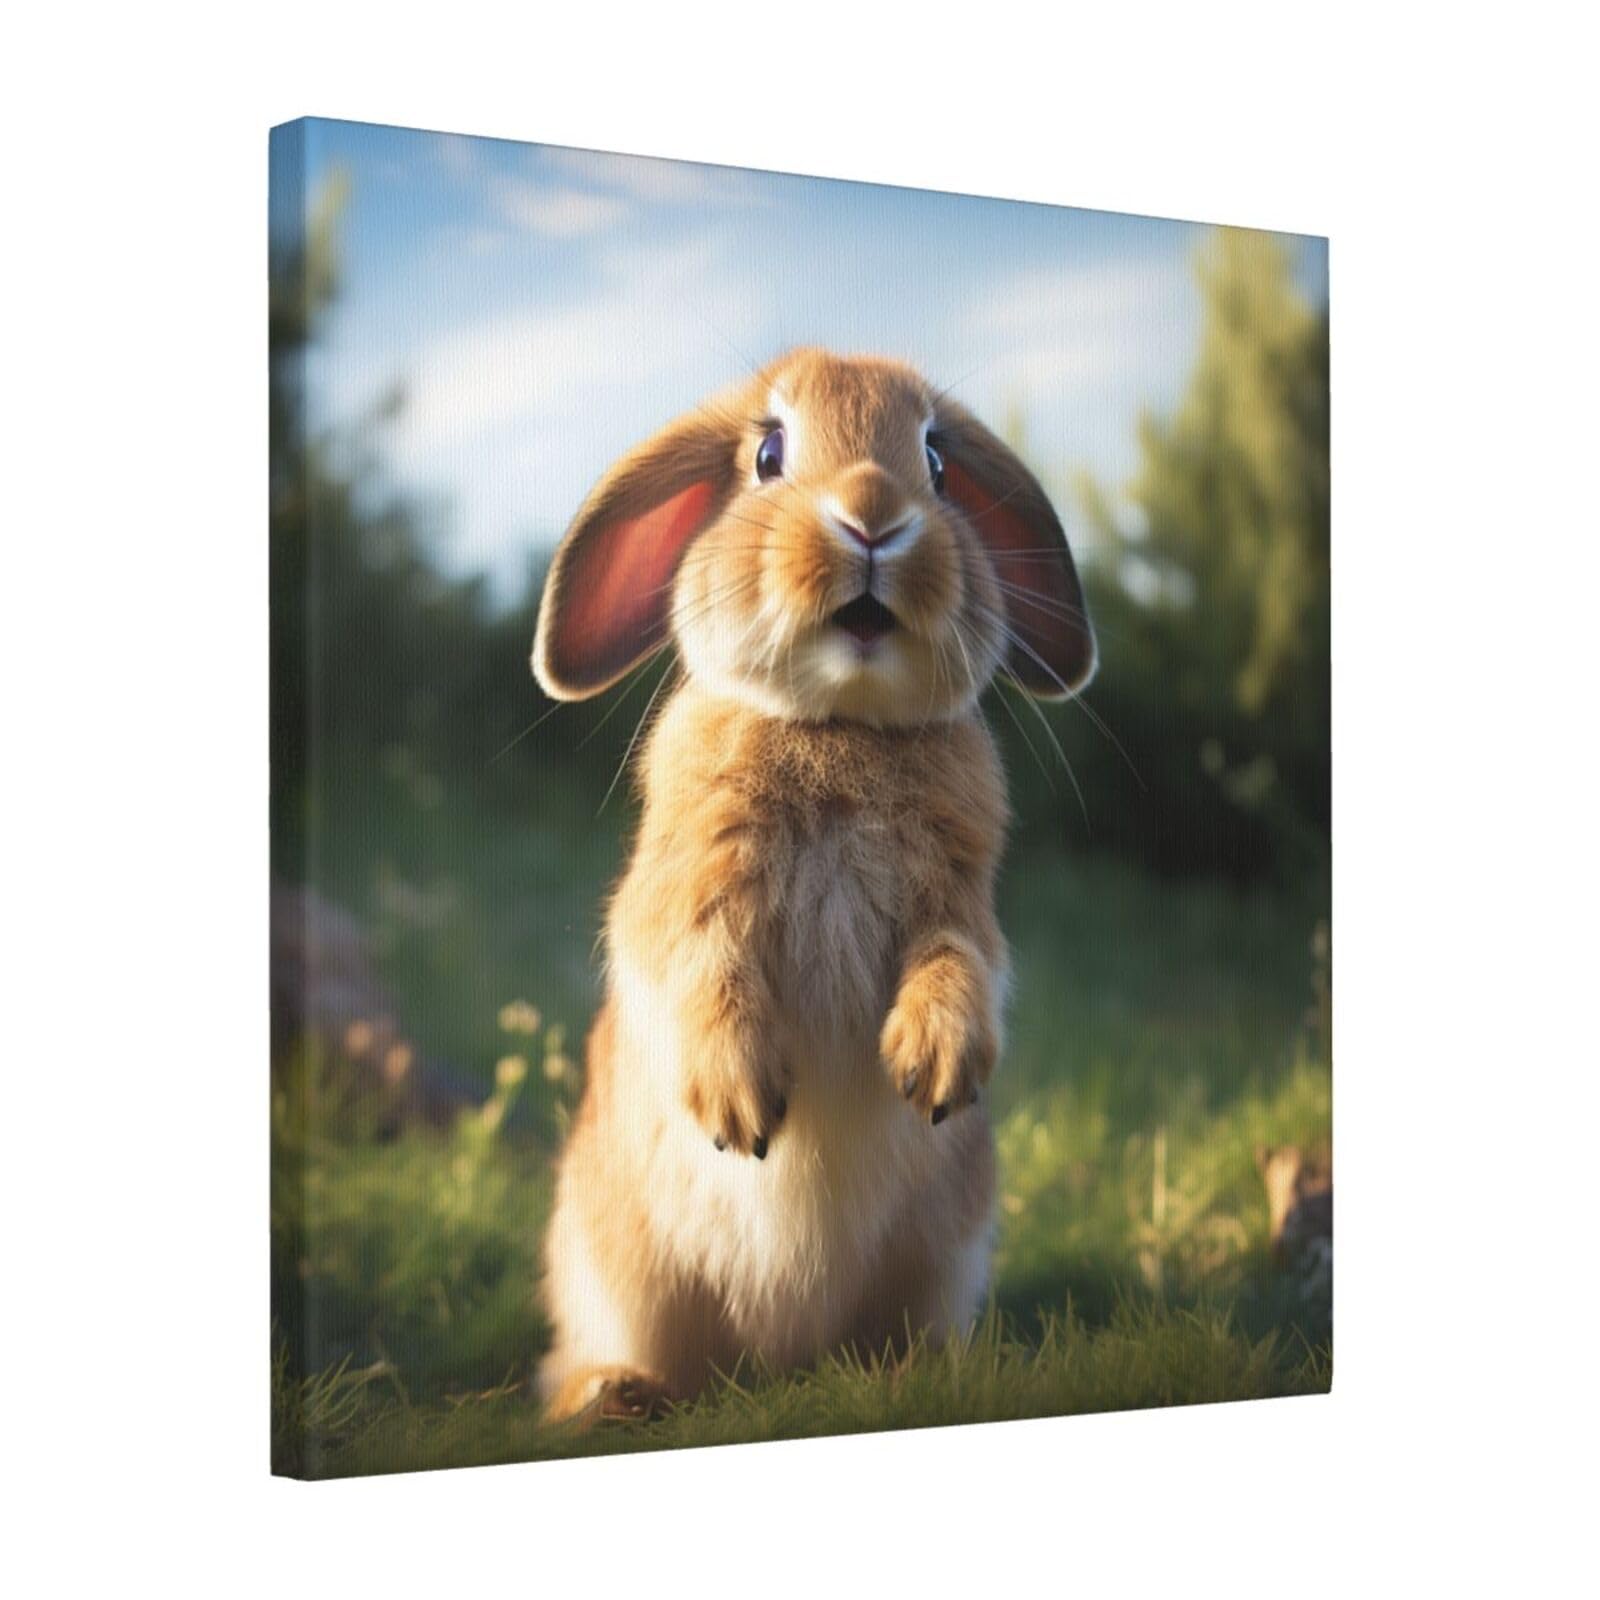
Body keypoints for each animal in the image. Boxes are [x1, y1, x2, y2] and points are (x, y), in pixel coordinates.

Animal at [530, 347, 1095, 1421]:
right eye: (768, 453)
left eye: (938, 464)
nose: (873, 516)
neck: (840, 724)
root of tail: (780, 1357)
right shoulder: (683, 896)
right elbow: (702, 970)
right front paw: (739, 1107)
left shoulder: (959, 904)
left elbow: (958, 964)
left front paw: (932, 1067)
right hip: (615, 1277)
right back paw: (615, 1395)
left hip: (944, 1257)